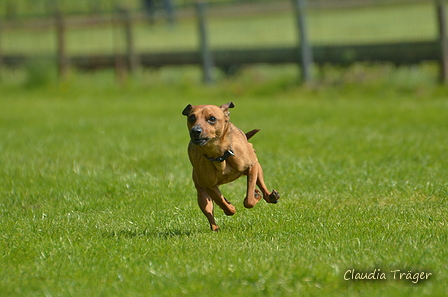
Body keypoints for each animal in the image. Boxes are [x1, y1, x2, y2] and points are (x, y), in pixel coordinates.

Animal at [180, 102, 278, 231]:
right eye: (191, 118)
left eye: (212, 118)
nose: (195, 131)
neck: (219, 156)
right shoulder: (208, 185)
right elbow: (222, 202)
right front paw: (230, 207)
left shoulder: (252, 166)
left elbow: (249, 199)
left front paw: (255, 195)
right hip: (201, 194)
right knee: (209, 210)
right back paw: (215, 228)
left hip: (258, 167)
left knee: (262, 187)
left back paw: (270, 196)